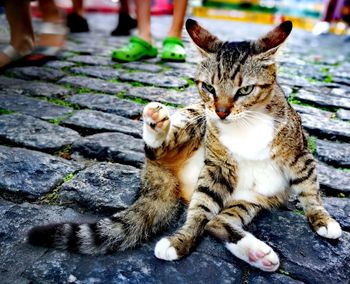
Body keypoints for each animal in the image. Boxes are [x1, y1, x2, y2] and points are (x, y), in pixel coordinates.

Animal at [28, 18, 342, 272]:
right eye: (209, 87)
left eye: (245, 90)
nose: (221, 112)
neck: (246, 124)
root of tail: (158, 177)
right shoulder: (217, 165)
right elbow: (199, 212)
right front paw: (183, 238)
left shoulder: (300, 155)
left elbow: (310, 191)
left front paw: (322, 219)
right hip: (194, 124)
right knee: (173, 171)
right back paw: (155, 126)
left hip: (249, 200)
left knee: (217, 222)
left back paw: (257, 254)